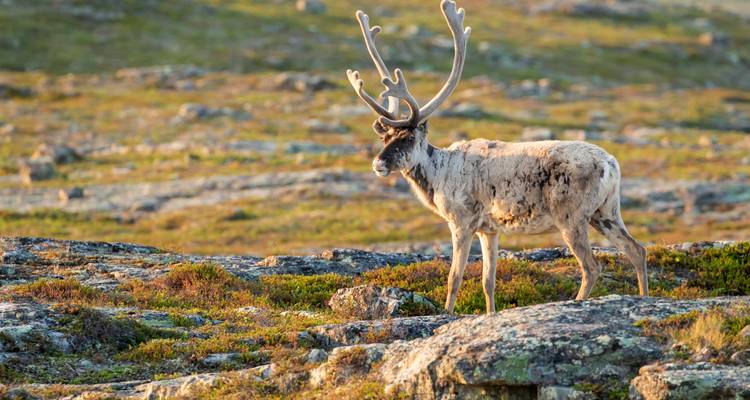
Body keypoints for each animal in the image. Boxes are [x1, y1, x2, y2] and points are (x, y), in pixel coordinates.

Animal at [346, 0, 648, 314]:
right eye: (384, 138)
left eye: (407, 138)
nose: (378, 163)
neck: (438, 173)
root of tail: (611, 164)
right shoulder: (489, 231)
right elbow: (487, 281)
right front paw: (490, 312)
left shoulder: (462, 222)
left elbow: (454, 278)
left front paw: (448, 313)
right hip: (606, 212)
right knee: (637, 249)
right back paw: (643, 296)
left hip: (572, 217)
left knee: (592, 266)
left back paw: (578, 301)